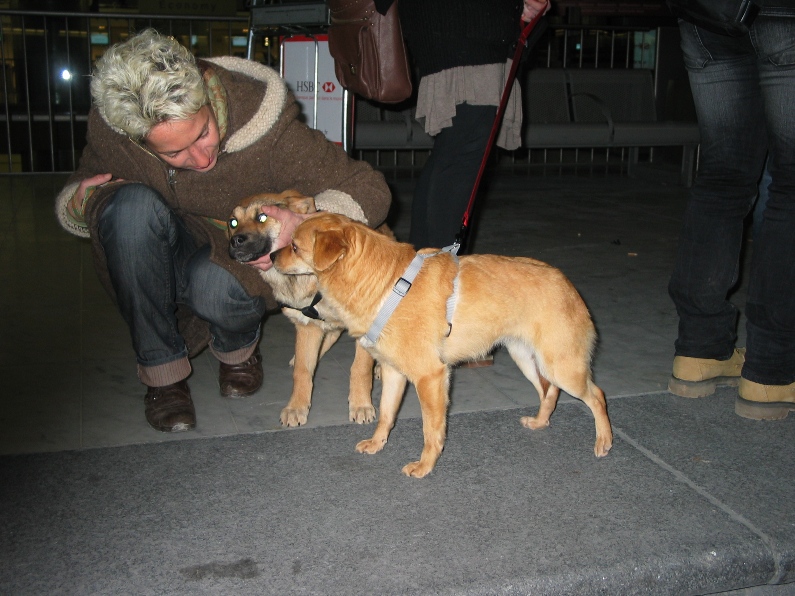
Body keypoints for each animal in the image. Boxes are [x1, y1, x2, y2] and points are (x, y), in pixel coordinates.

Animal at [227, 192, 382, 428]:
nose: (235, 241)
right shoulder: (307, 324)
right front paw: (296, 407)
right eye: (233, 223)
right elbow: (302, 371)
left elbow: (360, 368)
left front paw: (361, 405)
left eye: (262, 217)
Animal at [274, 212, 616, 478]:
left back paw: (604, 441)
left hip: (563, 368)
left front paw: (425, 466)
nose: (272, 257)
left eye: (294, 246)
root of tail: (567, 284)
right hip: (529, 360)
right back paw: (541, 422)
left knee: (597, 395)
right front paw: (377, 443)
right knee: (549, 392)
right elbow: (386, 414)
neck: (385, 284)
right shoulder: (394, 373)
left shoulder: (431, 378)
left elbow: (431, 430)